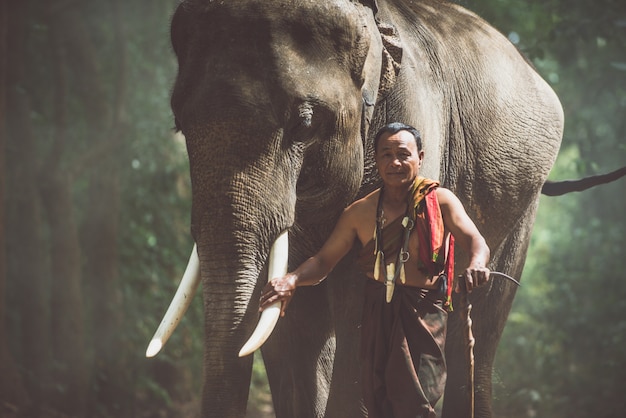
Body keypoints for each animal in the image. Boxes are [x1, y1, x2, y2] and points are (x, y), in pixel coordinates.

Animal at [147, 0, 564, 418]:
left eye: (304, 124)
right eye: (178, 124)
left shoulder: (414, 113)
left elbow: (361, 297)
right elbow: (292, 324)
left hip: (522, 205)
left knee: (479, 322)